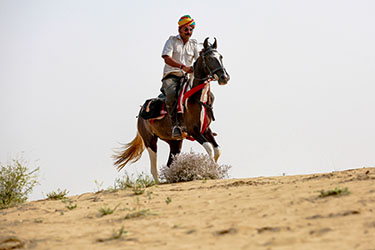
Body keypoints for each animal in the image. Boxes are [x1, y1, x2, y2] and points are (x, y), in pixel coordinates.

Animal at [112, 37, 229, 183]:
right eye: (210, 58)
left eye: (221, 56)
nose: (224, 77)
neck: (196, 97)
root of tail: (140, 114)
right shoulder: (194, 130)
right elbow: (209, 148)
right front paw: (209, 172)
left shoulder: (206, 130)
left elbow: (217, 150)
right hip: (150, 142)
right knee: (154, 169)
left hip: (175, 143)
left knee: (169, 163)